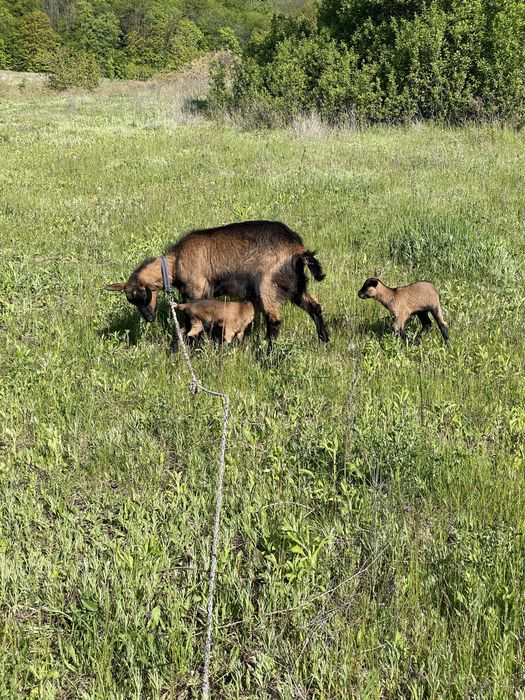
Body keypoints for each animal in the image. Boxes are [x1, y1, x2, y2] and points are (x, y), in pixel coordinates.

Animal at [106, 220, 329, 348]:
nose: (149, 318)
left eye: (145, 295)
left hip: (268, 284)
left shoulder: (196, 291)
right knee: (314, 307)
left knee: (274, 321)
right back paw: (324, 340)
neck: (175, 262)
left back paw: (268, 356)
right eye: (131, 300)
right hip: (295, 284)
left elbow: (191, 323)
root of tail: (298, 249)